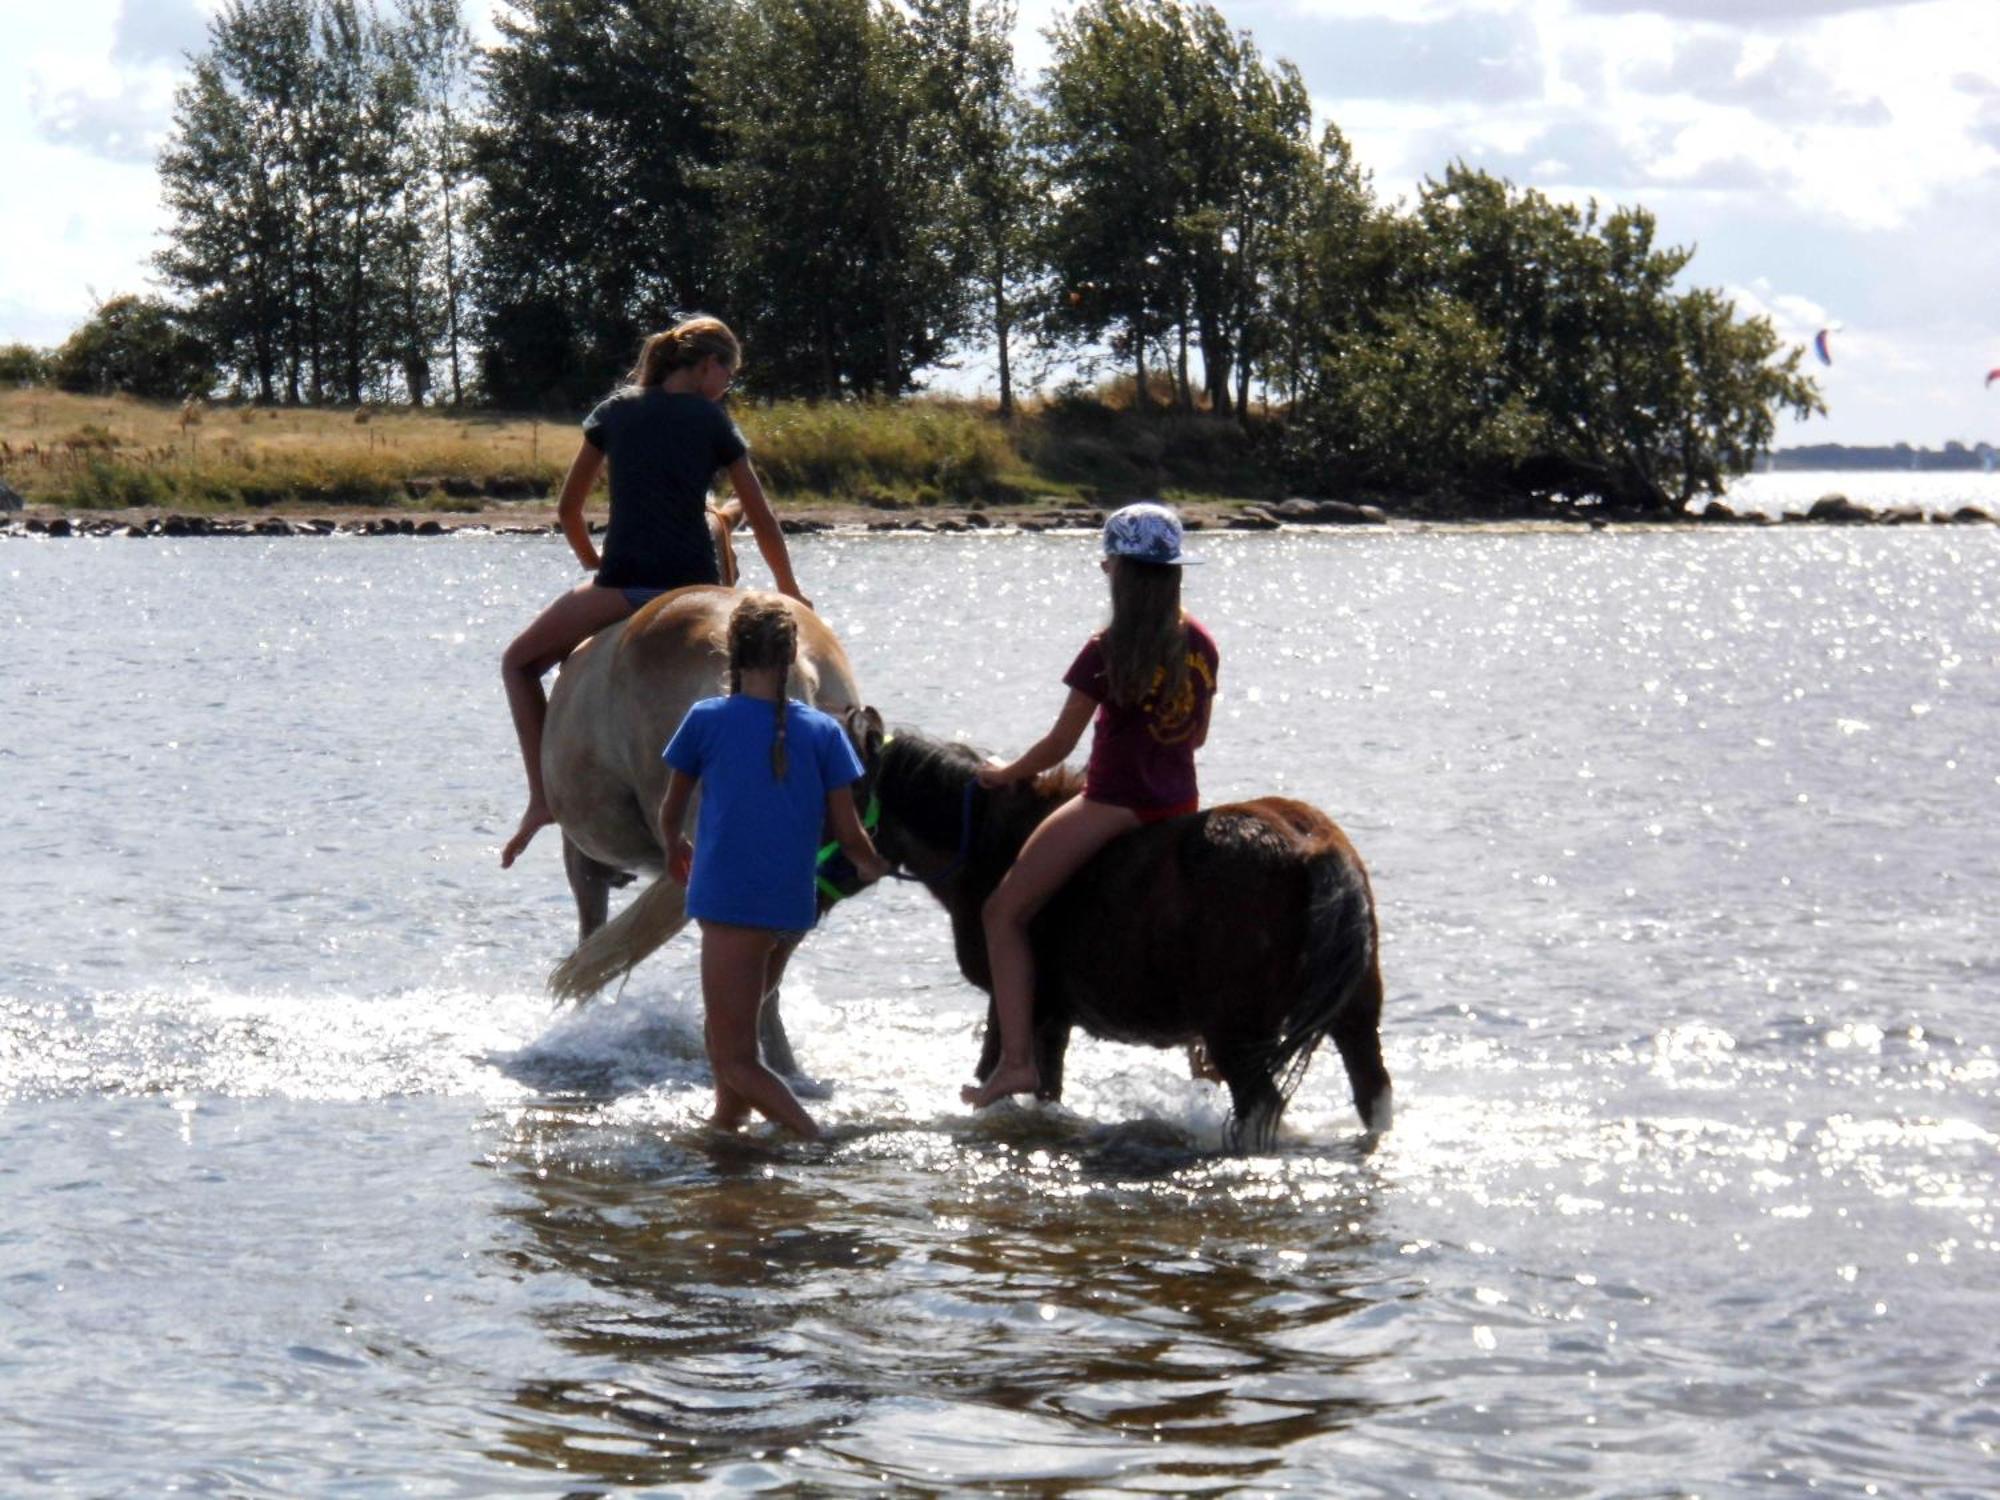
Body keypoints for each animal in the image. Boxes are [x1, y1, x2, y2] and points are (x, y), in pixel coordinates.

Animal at [860, 728, 1392, 1152]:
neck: (987, 845)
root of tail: (1312, 846)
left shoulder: (1018, 1002)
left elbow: (995, 1071)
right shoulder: (1053, 1018)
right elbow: (1047, 1090)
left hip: (1236, 1032)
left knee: (1262, 1106)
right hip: (1354, 1016)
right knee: (1373, 1091)